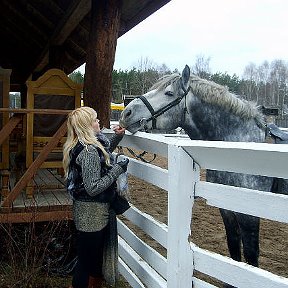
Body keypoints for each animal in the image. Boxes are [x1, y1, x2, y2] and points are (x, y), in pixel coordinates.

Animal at [118, 64, 286, 282]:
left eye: (169, 92)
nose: (126, 113)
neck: (240, 146)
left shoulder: (249, 214)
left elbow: (250, 260)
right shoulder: (227, 210)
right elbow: (234, 252)